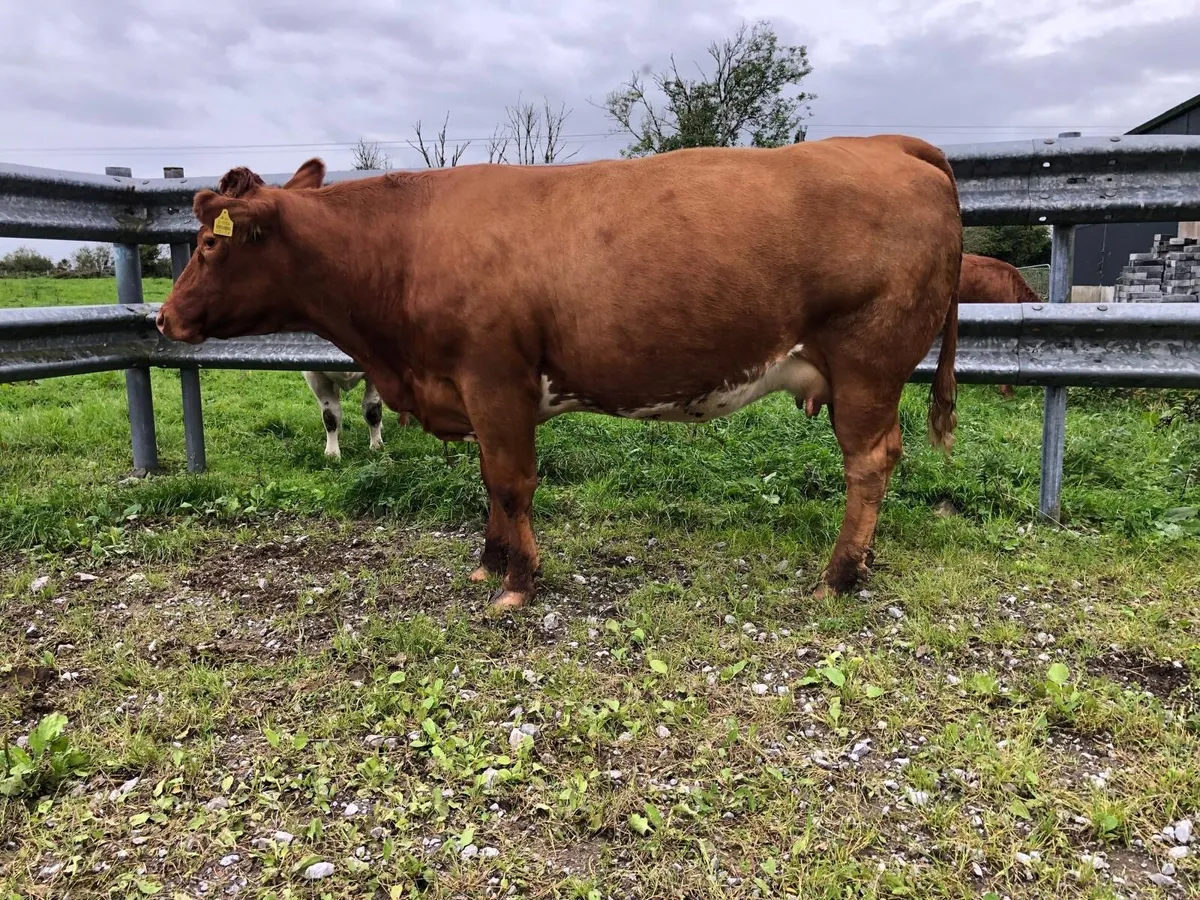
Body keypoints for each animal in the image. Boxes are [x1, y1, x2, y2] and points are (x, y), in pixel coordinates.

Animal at [156, 134, 963, 613]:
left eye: (208, 243)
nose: (163, 318)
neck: (406, 248)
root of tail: (891, 144)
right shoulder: (475, 393)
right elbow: (490, 483)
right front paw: (488, 563)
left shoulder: (495, 380)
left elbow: (513, 483)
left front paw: (518, 582)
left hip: (866, 363)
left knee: (869, 462)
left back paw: (839, 575)